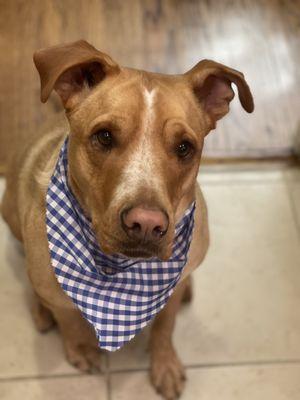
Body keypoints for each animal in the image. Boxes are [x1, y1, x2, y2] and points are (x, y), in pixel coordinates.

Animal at [1, 41, 253, 400]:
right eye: (104, 136)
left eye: (184, 147)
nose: (146, 224)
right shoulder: (55, 290)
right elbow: (68, 318)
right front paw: (80, 348)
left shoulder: (169, 294)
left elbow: (165, 326)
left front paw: (164, 364)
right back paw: (40, 310)